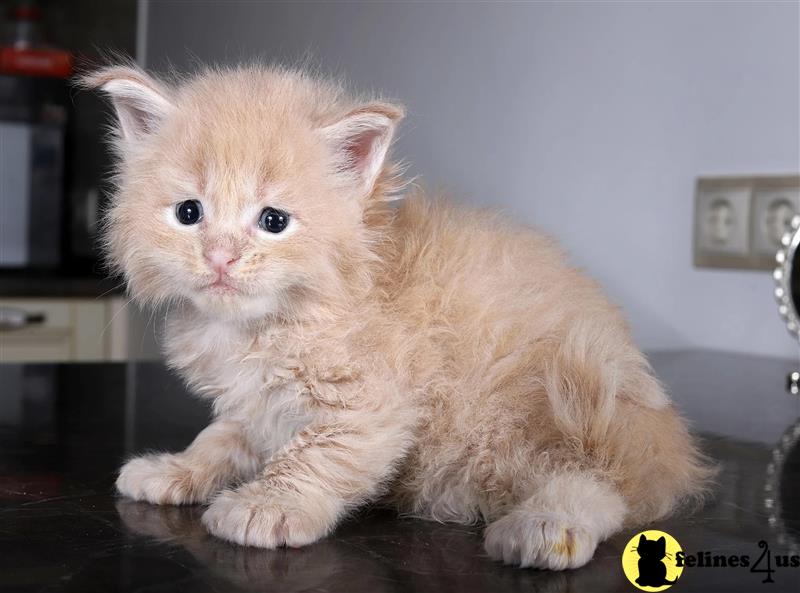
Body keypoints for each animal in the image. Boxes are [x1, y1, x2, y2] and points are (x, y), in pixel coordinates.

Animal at [86, 61, 712, 568]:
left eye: (273, 221)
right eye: (189, 213)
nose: (220, 257)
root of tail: (668, 445)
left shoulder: (374, 406)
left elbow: (314, 455)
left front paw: (268, 504)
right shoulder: (255, 404)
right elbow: (220, 436)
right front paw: (175, 469)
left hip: (552, 407)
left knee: (600, 482)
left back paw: (545, 526)